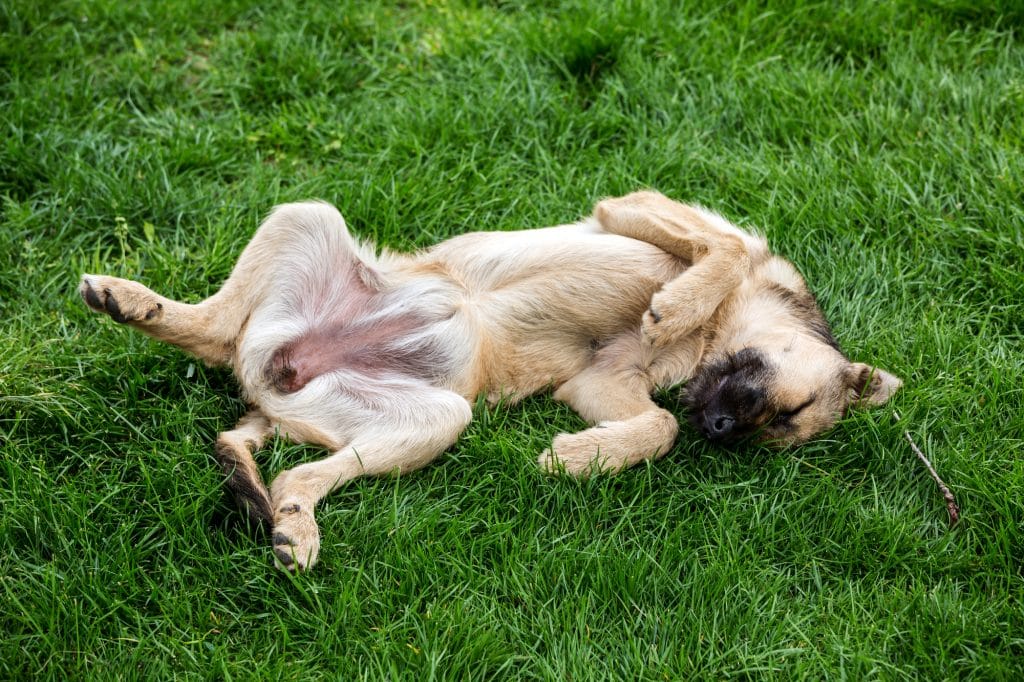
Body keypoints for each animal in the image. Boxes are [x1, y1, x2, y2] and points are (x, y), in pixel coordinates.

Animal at [75, 188, 901, 565]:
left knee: (286, 472)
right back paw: (131, 299)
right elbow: (718, 252)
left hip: (432, 419)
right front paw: (679, 302)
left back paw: (293, 524)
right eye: (786, 405)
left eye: (777, 429)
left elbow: (660, 423)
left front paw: (581, 458)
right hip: (306, 215)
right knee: (213, 331)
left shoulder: (602, 385)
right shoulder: (638, 209)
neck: (722, 333)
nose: (723, 428)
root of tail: (270, 390)